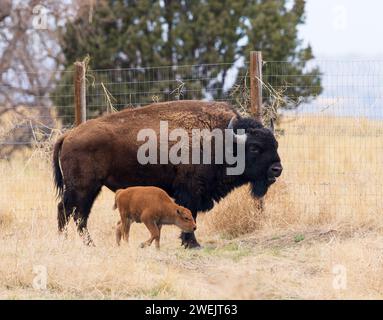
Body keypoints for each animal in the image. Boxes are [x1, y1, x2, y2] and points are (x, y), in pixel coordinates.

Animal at [53, 100, 282, 248]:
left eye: (275, 144)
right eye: (254, 147)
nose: (277, 169)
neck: (222, 140)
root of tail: (68, 135)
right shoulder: (190, 191)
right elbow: (190, 213)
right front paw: (192, 244)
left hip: (90, 189)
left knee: (78, 215)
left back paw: (86, 244)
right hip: (83, 187)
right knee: (68, 211)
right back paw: (69, 242)